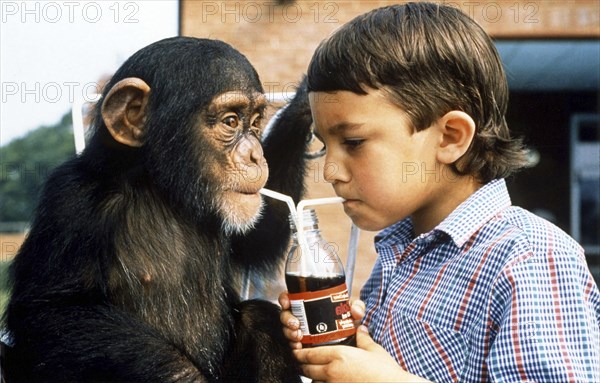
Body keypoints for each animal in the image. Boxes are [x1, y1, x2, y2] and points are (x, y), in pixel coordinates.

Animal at [3, 36, 314, 383]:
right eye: (231, 121)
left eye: (256, 122)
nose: (256, 155)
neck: (162, 191)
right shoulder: (71, 203)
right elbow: (53, 309)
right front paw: (184, 376)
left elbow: (258, 238)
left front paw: (306, 98)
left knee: (259, 319)